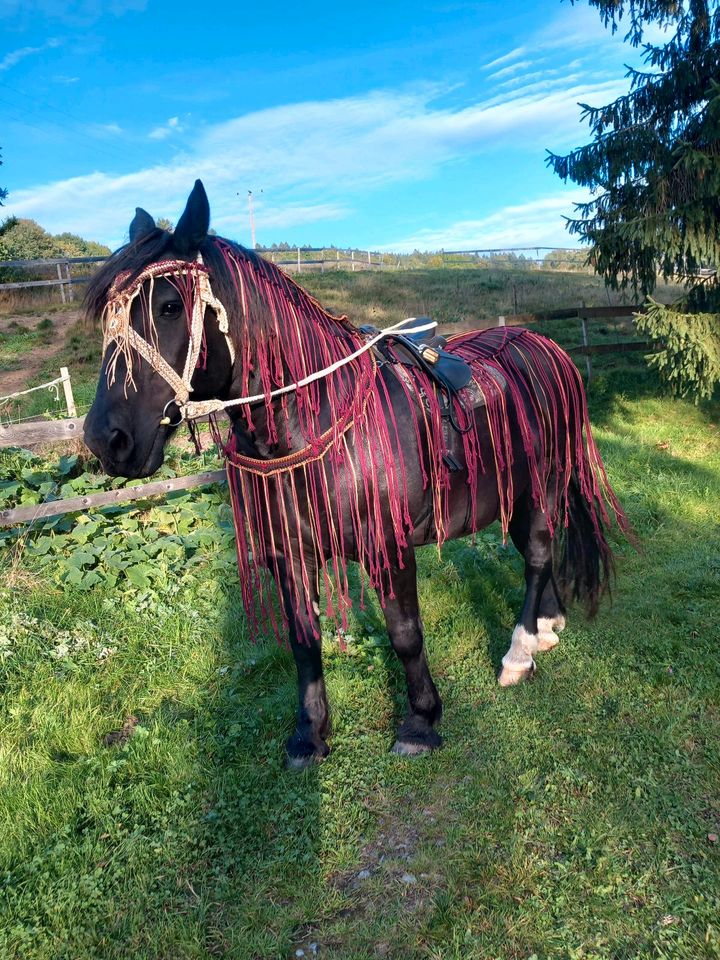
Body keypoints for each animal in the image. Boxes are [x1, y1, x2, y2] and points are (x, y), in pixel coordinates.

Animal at [83, 178, 624, 764]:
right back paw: (547, 624)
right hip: (517, 491)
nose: (106, 440)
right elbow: (303, 641)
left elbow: (405, 634)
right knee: (534, 554)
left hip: (545, 483)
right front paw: (310, 733)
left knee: (539, 556)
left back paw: (520, 652)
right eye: (110, 317)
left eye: (168, 306)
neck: (313, 421)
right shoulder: (289, 554)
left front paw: (421, 721)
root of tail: (546, 346)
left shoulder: (387, 547)